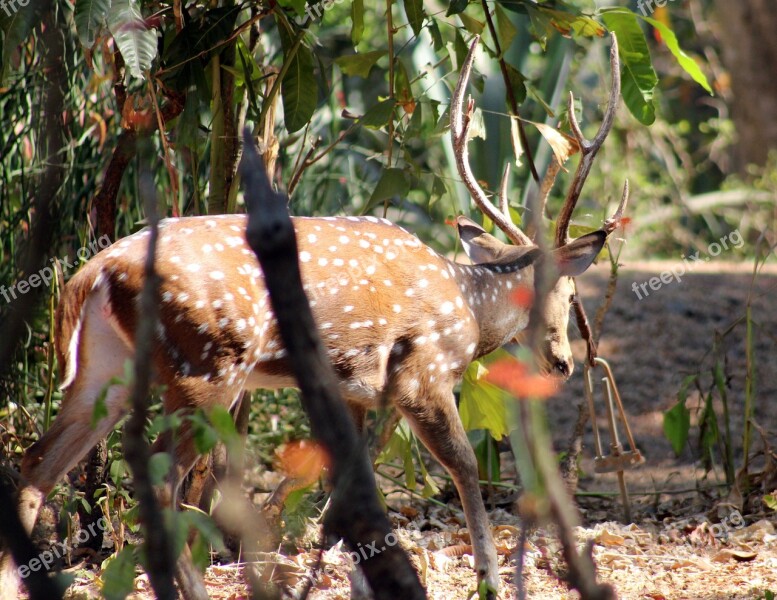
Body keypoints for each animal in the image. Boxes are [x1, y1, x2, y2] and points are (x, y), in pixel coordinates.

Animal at [0, 36, 628, 596]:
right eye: (569, 291)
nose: (563, 362)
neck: (468, 308)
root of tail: (94, 273)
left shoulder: (353, 388)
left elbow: (349, 488)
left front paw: (352, 580)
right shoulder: (421, 374)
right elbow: (466, 465)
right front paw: (488, 579)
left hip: (104, 367)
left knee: (38, 461)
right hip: (207, 364)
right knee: (157, 478)